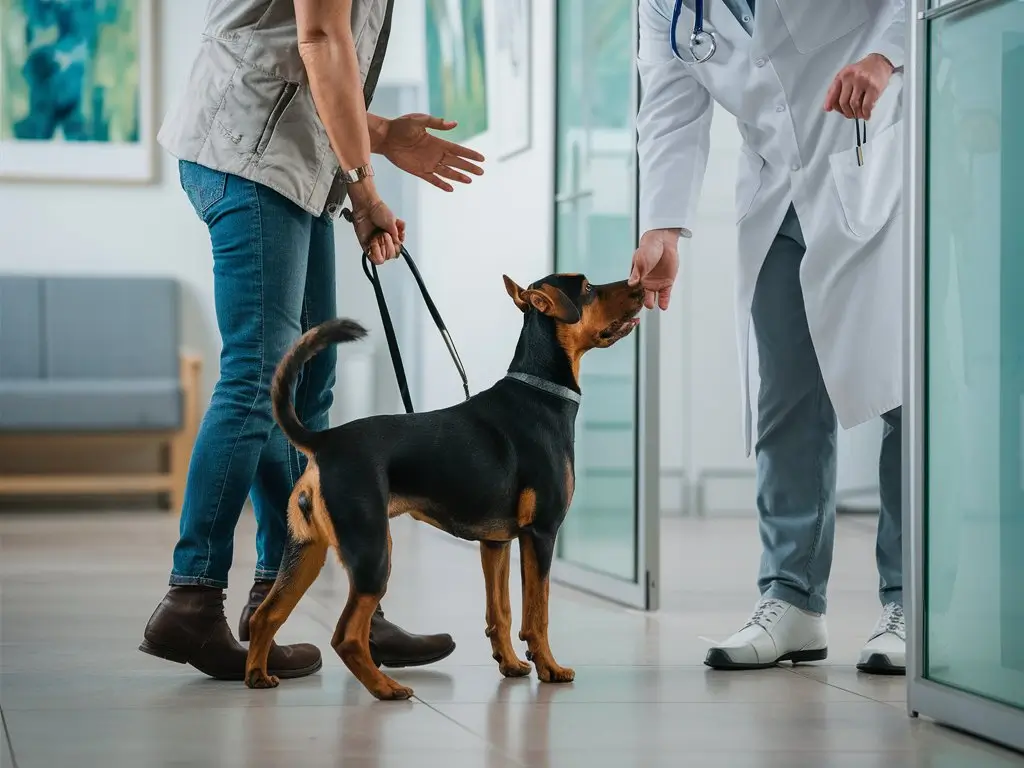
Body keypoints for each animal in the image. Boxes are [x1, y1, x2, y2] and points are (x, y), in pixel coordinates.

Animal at [241, 274, 638, 700]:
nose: (638, 287)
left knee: (267, 616)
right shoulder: (541, 533)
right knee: (346, 636)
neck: (541, 394)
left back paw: (257, 676)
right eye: (587, 288)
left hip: (306, 550)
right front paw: (549, 667)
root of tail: (324, 442)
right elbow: (537, 613)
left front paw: (511, 664)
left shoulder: (496, 543)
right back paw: (386, 688)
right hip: (373, 552)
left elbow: (500, 612)